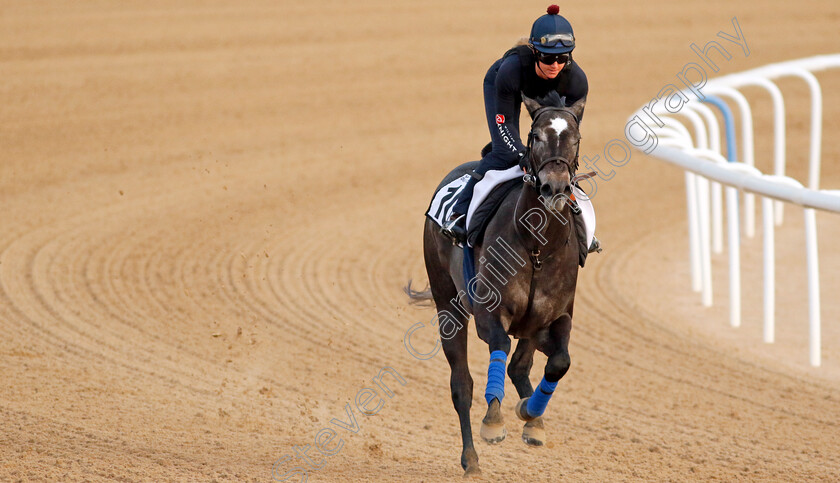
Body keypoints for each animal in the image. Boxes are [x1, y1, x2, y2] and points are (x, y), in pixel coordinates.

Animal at [406, 94, 584, 476]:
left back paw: (533, 420)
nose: (555, 187)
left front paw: (531, 415)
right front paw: (494, 422)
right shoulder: (490, 313)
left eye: (575, 138)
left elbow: (559, 361)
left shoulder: (555, 316)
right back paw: (471, 459)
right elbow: (498, 348)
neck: (538, 245)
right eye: (535, 136)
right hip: (448, 303)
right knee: (461, 384)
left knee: (521, 366)